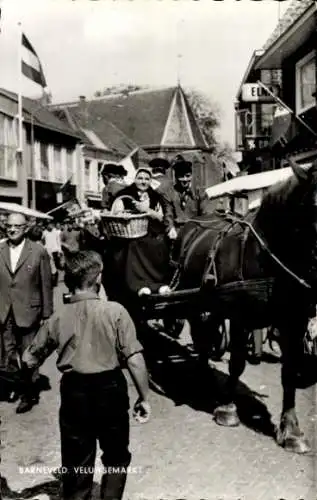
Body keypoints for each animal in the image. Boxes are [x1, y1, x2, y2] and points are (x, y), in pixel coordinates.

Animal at [173, 159, 316, 454]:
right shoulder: (240, 316)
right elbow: (237, 362)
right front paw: (228, 410)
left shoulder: (294, 321)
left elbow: (290, 372)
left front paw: (291, 431)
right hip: (192, 301)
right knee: (200, 334)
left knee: (207, 334)